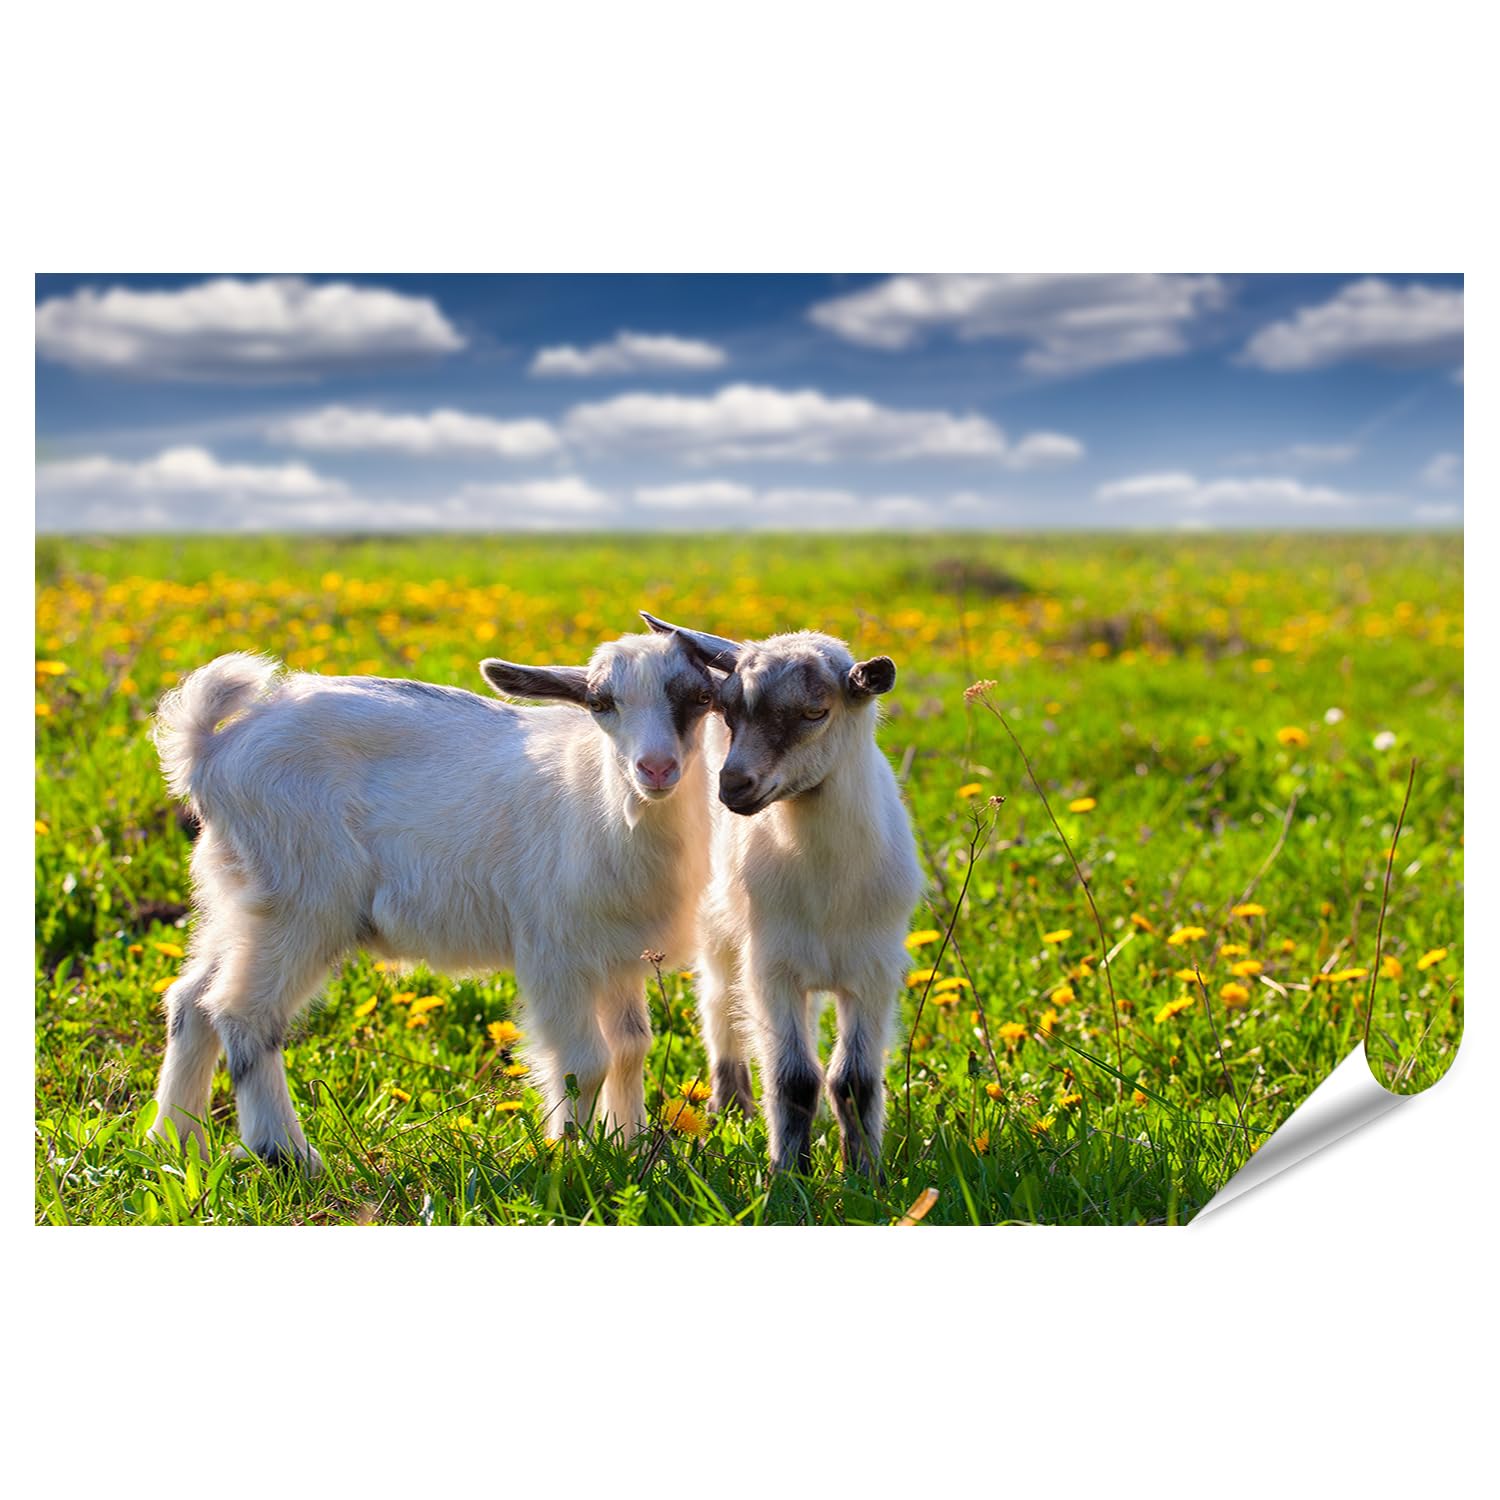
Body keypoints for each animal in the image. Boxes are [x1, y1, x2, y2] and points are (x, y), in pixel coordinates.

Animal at [148, 633, 717, 1171]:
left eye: (701, 696)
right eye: (601, 702)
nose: (656, 769)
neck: (602, 808)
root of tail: (213, 753)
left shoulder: (620, 957)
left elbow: (630, 1048)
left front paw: (631, 1149)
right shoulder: (554, 950)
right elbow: (586, 1060)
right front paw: (571, 1161)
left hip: (241, 898)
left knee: (192, 1000)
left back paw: (176, 1144)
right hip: (302, 899)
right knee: (243, 1013)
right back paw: (286, 1154)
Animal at [642, 613, 923, 1175]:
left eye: (816, 711)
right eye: (726, 709)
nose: (733, 786)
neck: (826, 886)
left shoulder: (873, 970)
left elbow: (854, 1081)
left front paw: (866, 1175)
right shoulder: (771, 966)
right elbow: (794, 1080)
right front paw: (788, 1175)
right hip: (722, 932)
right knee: (720, 1005)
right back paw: (732, 1108)